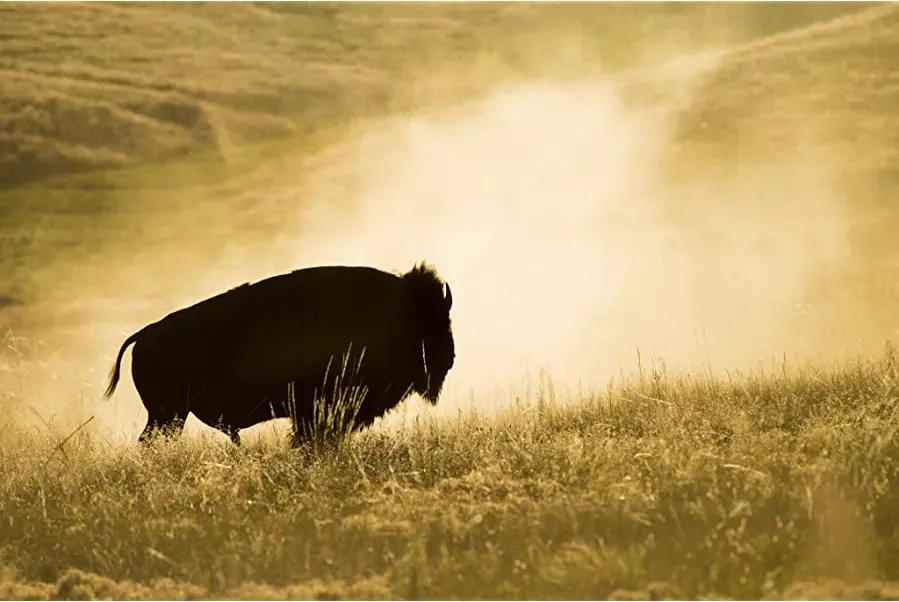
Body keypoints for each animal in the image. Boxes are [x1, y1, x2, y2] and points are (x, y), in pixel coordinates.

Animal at [103, 262, 455, 446]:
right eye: (436, 322)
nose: (450, 358)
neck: (403, 311)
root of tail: (145, 334)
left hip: (167, 416)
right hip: (168, 415)